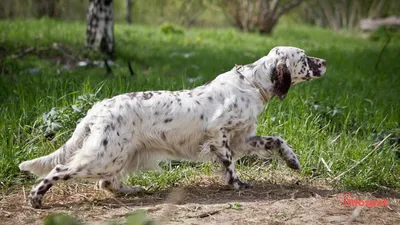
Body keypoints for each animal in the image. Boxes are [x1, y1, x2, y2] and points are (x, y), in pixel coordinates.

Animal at [18, 46, 326, 208]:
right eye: (305, 58)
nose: (324, 62)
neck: (252, 83)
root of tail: (98, 108)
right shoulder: (219, 133)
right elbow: (230, 164)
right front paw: (237, 184)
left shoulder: (242, 138)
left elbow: (276, 139)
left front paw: (293, 161)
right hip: (104, 156)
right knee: (60, 169)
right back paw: (36, 198)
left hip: (119, 156)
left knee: (107, 182)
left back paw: (132, 190)